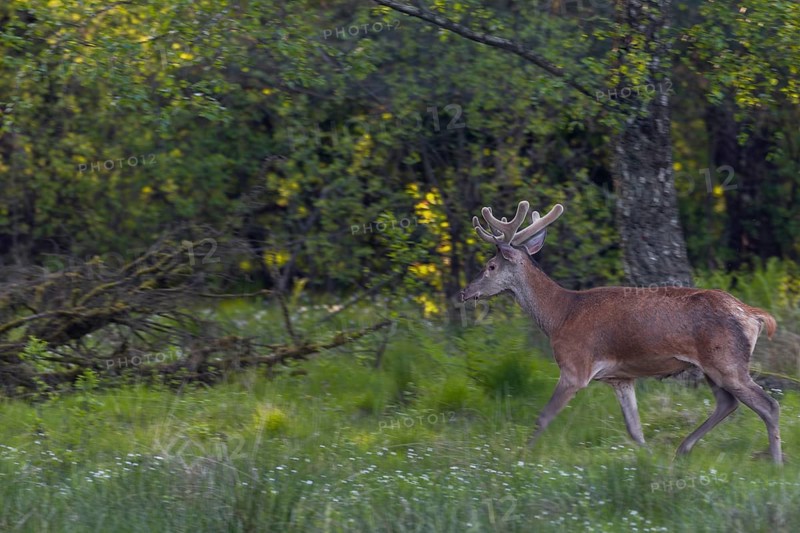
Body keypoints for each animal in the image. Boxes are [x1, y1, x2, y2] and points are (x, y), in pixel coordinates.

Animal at [460, 200, 782, 464]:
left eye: (490, 266)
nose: (465, 292)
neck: (559, 316)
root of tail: (753, 314)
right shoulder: (620, 377)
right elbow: (634, 429)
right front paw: (650, 459)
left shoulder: (575, 366)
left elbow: (543, 417)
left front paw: (520, 456)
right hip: (711, 367)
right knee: (727, 403)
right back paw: (682, 449)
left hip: (726, 360)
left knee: (769, 405)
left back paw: (776, 463)